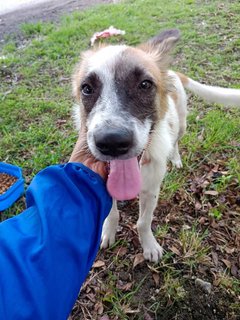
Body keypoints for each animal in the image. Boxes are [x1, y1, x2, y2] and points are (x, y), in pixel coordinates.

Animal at [70, 28, 239, 262]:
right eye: (86, 89)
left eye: (145, 84)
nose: (112, 142)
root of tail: (173, 72)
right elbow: (112, 213)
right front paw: (107, 232)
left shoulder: (152, 191)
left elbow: (143, 222)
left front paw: (149, 246)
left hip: (181, 124)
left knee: (176, 141)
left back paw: (176, 159)